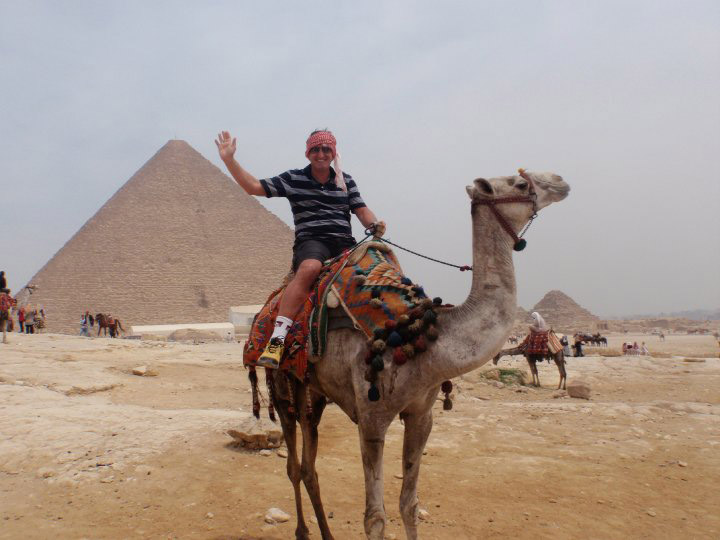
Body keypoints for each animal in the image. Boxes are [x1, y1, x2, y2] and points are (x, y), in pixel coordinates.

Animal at [264, 168, 568, 536]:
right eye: (520, 183)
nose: (560, 180)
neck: (424, 340)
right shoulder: (371, 418)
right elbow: (375, 517)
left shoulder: (422, 415)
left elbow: (409, 505)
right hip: (281, 385)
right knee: (294, 463)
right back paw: (303, 531)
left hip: (313, 390)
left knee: (309, 463)